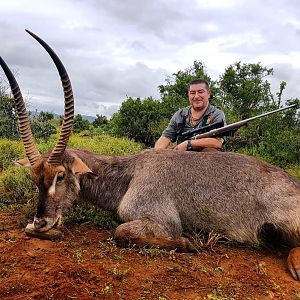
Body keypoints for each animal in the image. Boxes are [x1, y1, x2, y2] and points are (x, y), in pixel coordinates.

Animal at [0, 29, 300, 278]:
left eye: (60, 176)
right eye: (34, 179)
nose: (41, 222)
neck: (130, 173)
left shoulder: (162, 221)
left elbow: (121, 232)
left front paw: (188, 244)